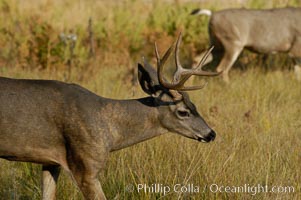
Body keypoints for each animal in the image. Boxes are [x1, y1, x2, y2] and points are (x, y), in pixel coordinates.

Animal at [0, 33, 219, 199]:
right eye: (183, 111)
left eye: (194, 105)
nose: (211, 134)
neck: (111, 132)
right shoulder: (85, 165)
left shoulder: (51, 163)